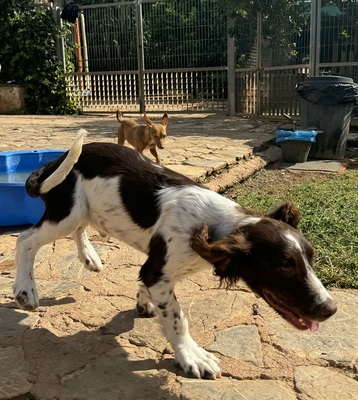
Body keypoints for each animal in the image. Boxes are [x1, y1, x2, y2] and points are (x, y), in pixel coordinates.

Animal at [14, 130, 338, 378]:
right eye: (284, 266)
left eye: (311, 260)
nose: (331, 309)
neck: (212, 225)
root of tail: (57, 159)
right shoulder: (158, 271)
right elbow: (177, 318)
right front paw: (192, 357)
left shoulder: (155, 268)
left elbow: (153, 294)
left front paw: (144, 302)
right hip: (65, 212)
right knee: (25, 240)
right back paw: (25, 290)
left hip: (79, 210)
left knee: (79, 229)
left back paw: (90, 258)